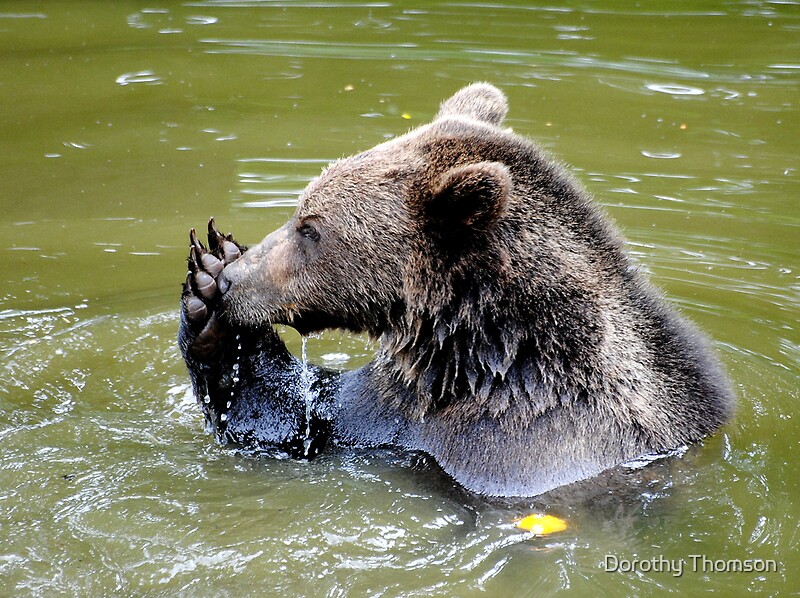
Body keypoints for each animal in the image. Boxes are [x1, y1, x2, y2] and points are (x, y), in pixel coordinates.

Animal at [178, 83, 736, 496]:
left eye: (310, 228)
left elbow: (288, 419)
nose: (233, 281)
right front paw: (212, 268)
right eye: (302, 212)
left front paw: (207, 295)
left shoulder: (493, 437)